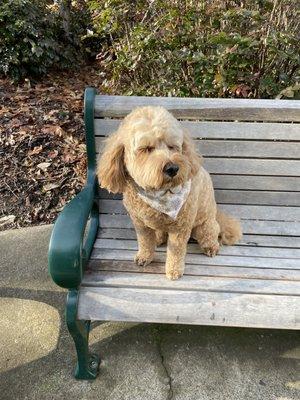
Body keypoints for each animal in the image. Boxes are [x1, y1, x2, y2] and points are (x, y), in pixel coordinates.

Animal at [97, 108, 243, 280]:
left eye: (172, 146)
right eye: (146, 148)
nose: (172, 168)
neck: (157, 192)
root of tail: (216, 215)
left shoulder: (181, 227)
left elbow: (176, 251)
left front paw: (174, 271)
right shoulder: (139, 223)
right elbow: (145, 241)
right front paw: (144, 257)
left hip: (204, 226)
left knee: (212, 233)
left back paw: (211, 247)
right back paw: (158, 238)